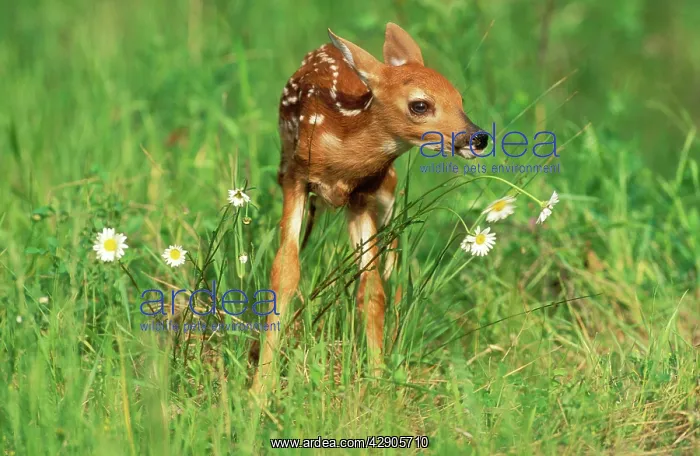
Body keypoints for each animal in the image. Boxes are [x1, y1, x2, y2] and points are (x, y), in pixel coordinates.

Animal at [250, 22, 488, 394]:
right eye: (420, 105)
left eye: (460, 100)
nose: (477, 137)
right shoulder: (294, 178)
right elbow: (284, 274)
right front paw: (259, 389)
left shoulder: (363, 194)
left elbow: (372, 289)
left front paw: (377, 383)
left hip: (387, 192)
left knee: (392, 262)